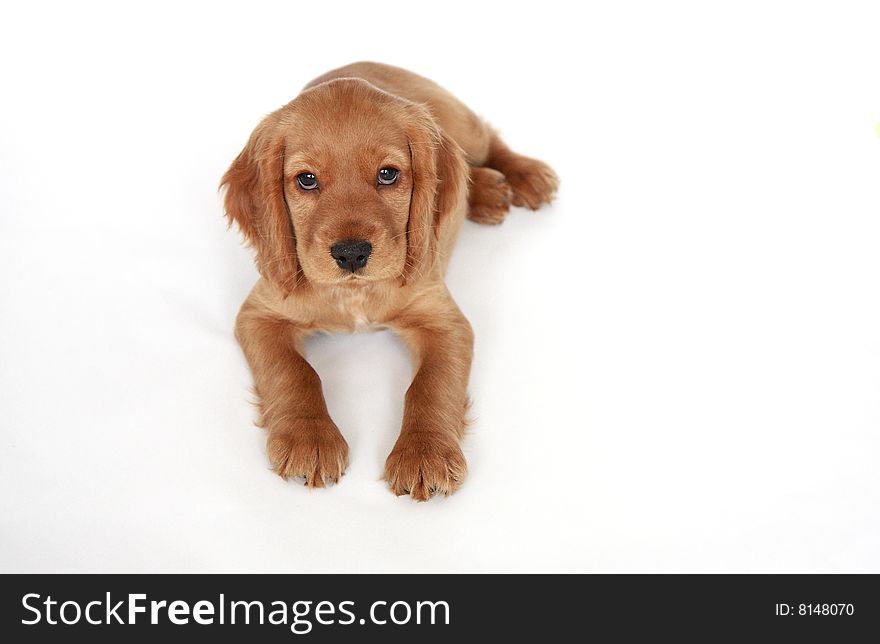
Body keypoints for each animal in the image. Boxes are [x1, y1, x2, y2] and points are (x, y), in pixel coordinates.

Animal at [223, 61, 560, 504]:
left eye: (387, 174)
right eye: (306, 180)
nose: (351, 253)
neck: (355, 293)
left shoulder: (444, 319)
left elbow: (430, 385)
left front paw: (425, 454)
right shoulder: (260, 314)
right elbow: (294, 372)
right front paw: (308, 438)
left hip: (463, 123)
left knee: (488, 139)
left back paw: (525, 176)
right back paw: (488, 191)